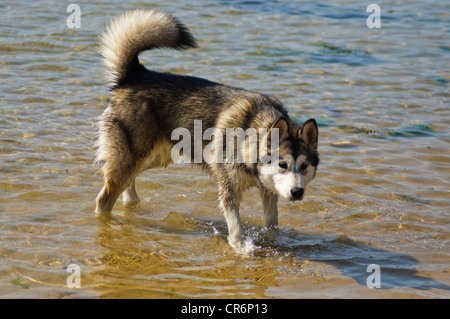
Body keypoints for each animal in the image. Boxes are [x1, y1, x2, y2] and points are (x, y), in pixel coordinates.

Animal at [95, 9, 320, 252]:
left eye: (304, 167)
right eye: (283, 165)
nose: (297, 192)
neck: (250, 131)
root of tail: (135, 74)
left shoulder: (268, 189)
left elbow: (272, 223)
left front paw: (273, 242)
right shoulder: (229, 188)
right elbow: (236, 226)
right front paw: (241, 248)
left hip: (152, 157)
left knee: (128, 185)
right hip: (132, 156)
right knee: (104, 198)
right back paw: (105, 221)